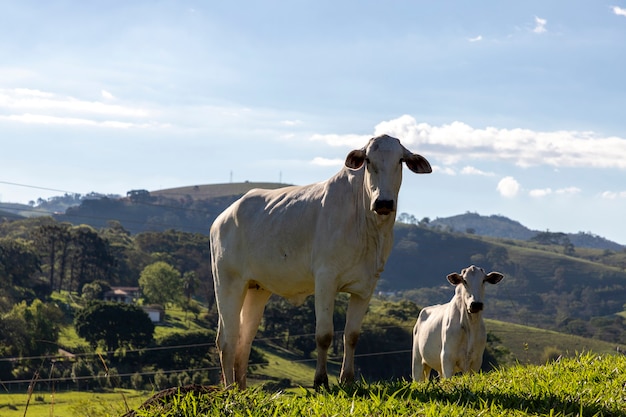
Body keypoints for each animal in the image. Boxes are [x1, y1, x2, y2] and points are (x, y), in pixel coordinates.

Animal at [210, 135, 428, 388]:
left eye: (400, 160)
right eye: (368, 160)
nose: (383, 202)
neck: (367, 224)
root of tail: (222, 218)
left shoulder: (366, 286)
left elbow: (351, 335)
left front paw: (347, 379)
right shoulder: (325, 279)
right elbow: (324, 335)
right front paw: (321, 380)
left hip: (257, 288)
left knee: (244, 340)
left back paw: (243, 389)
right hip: (228, 283)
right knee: (227, 339)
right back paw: (230, 389)